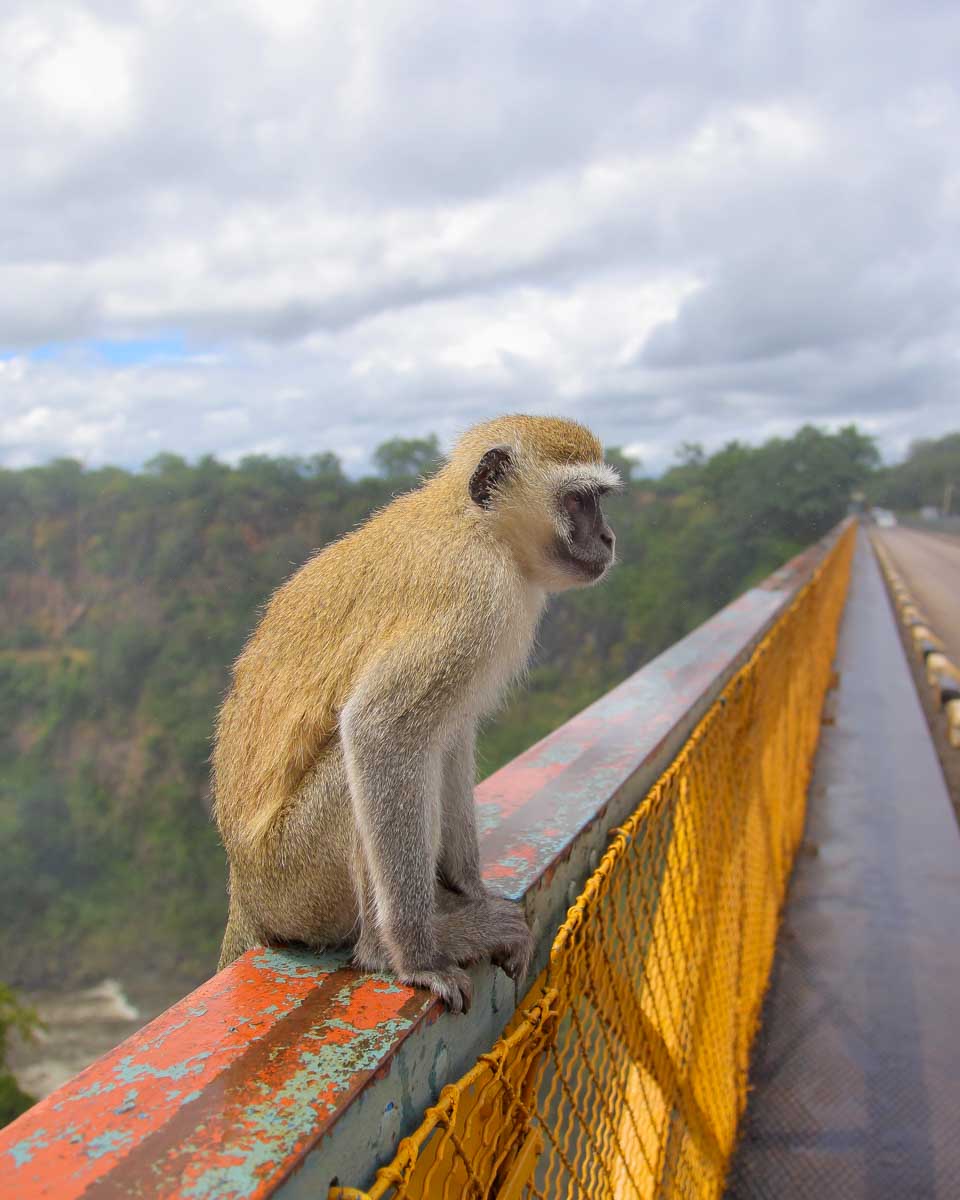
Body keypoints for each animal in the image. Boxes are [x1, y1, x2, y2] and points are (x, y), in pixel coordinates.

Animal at [212, 414, 620, 1013]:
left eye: (599, 501)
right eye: (578, 501)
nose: (609, 539)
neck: (476, 526)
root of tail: (245, 890)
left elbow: (449, 736)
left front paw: (469, 887)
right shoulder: (475, 597)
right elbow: (381, 731)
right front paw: (416, 954)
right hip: (294, 881)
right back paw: (383, 947)